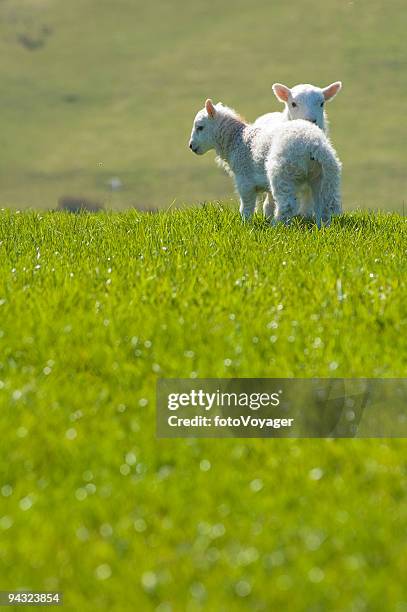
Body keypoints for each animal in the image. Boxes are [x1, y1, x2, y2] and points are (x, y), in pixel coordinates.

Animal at [190, 99, 342, 226]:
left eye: (200, 127)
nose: (191, 146)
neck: (236, 140)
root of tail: (314, 144)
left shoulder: (244, 179)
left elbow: (246, 206)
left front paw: (245, 224)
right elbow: (268, 205)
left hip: (282, 171)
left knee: (287, 205)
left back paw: (277, 226)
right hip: (323, 174)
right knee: (324, 202)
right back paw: (322, 226)